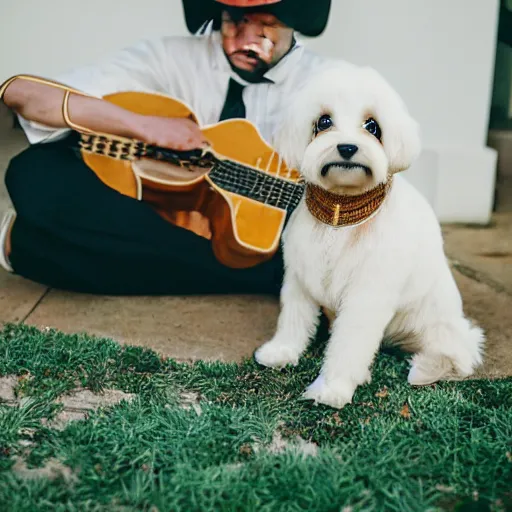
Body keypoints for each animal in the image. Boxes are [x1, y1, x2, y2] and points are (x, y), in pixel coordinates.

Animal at [254, 63, 486, 408]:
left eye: (372, 126)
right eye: (324, 122)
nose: (348, 147)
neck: (341, 216)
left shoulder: (367, 294)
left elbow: (349, 344)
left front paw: (332, 388)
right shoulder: (300, 278)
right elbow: (294, 320)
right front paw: (281, 352)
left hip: (440, 328)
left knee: (459, 354)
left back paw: (425, 369)